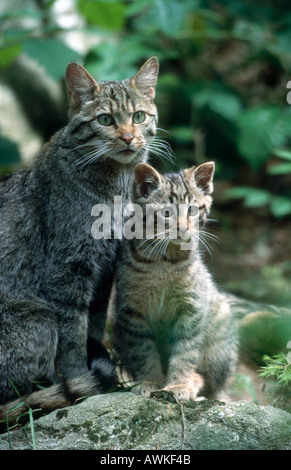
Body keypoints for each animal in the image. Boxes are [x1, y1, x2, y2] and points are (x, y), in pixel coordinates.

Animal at [0, 56, 160, 422]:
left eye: (139, 117)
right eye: (105, 120)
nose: (128, 138)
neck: (117, 183)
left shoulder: (104, 271)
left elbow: (93, 326)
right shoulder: (68, 270)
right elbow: (73, 336)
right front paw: (79, 381)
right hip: (39, 316)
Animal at [113, 162, 238, 400]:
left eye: (192, 210)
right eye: (166, 213)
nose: (183, 229)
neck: (165, 259)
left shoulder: (192, 307)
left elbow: (185, 350)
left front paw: (179, 385)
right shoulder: (131, 311)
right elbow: (143, 350)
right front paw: (150, 381)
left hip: (221, 327)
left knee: (212, 384)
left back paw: (195, 381)